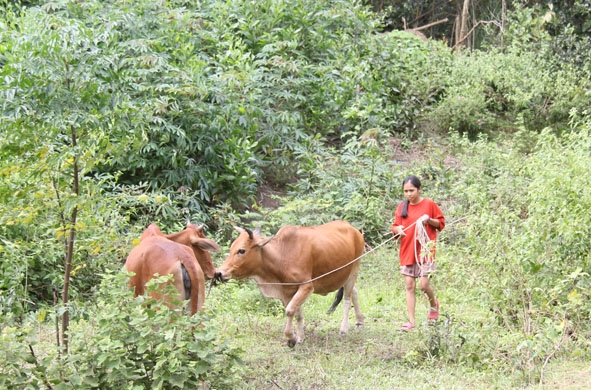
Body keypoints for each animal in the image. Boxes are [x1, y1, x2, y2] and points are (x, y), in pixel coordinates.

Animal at [213, 219, 366, 348]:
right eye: (232, 248)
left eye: (241, 250)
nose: (219, 273)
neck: (282, 255)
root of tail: (353, 229)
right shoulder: (287, 292)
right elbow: (297, 313)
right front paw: (300, 337)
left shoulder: (307, 286)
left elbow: (289, 311)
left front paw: (291, 338)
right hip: (346, 275)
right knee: (354, 291)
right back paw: (359, 321)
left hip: (355, 268)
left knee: (347, 299)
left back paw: (344, 329)